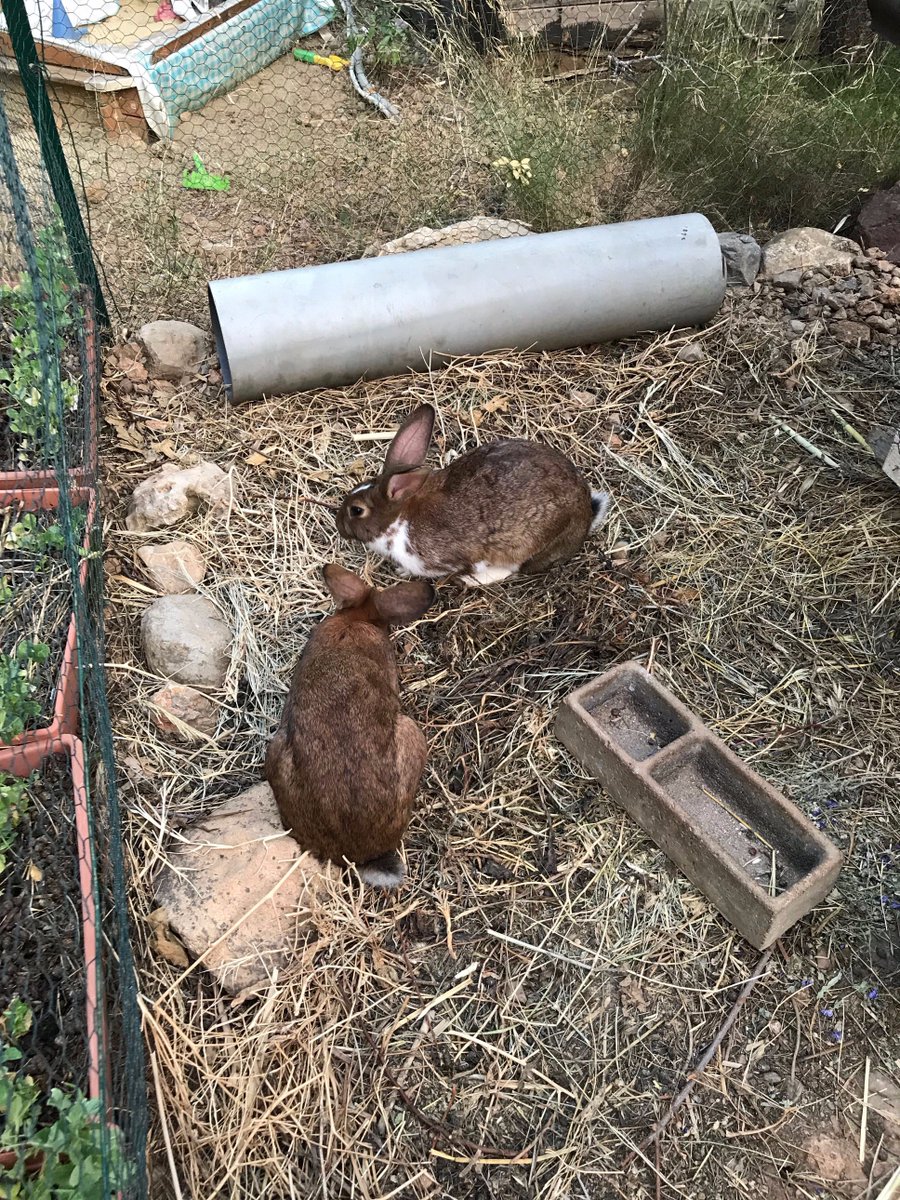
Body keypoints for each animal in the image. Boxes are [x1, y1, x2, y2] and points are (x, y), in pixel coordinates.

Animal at [336, 404, 609, 586]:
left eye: (356, 510)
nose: (339, 526)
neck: (399, 519)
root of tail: (586, 514)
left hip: (530, 542)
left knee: (514, 568)